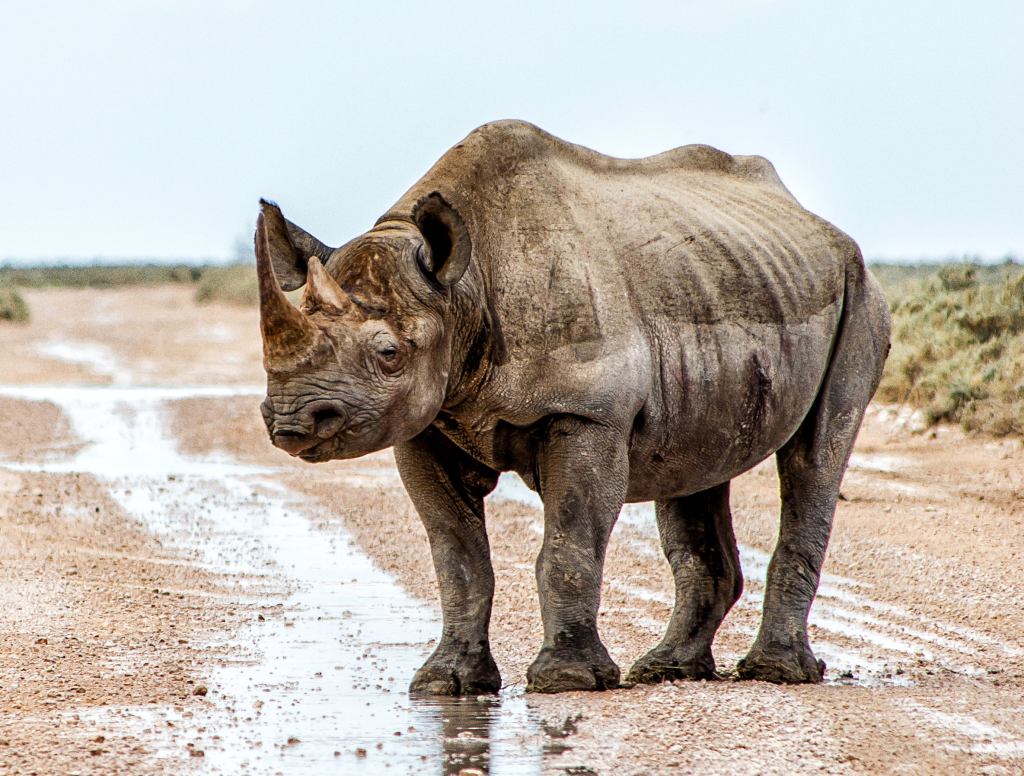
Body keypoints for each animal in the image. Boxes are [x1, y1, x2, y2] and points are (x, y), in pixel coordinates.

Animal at [253, 120, 888, 700]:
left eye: (388, 354)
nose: (291, 422)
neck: (463, 290)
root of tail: (817, 224)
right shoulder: (425, 424)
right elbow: (457, 556)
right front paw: (445, 684)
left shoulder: (587, 412)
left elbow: (570, 540)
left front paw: (568, 680)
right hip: (724, 276)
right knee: (695, 463)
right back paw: (667, 670)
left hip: (858, 291)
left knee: (815, 455)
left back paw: (777, 673)